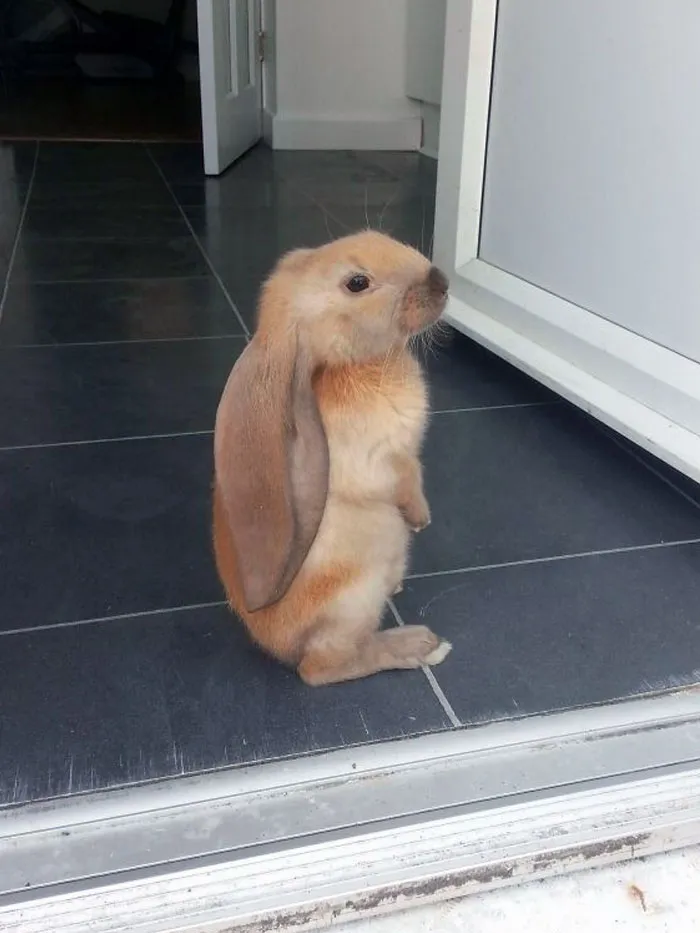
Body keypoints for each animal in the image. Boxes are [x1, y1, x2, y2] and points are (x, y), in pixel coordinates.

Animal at [212, 229, 452, 686]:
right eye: (357, 283)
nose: (442, 282)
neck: (355, 364)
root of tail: (276, 646)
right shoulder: (383, 461)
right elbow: (404, 481)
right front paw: (421, 519)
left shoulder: (406, 456)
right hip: (352, 599)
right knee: (321, 668)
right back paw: (418, 645)